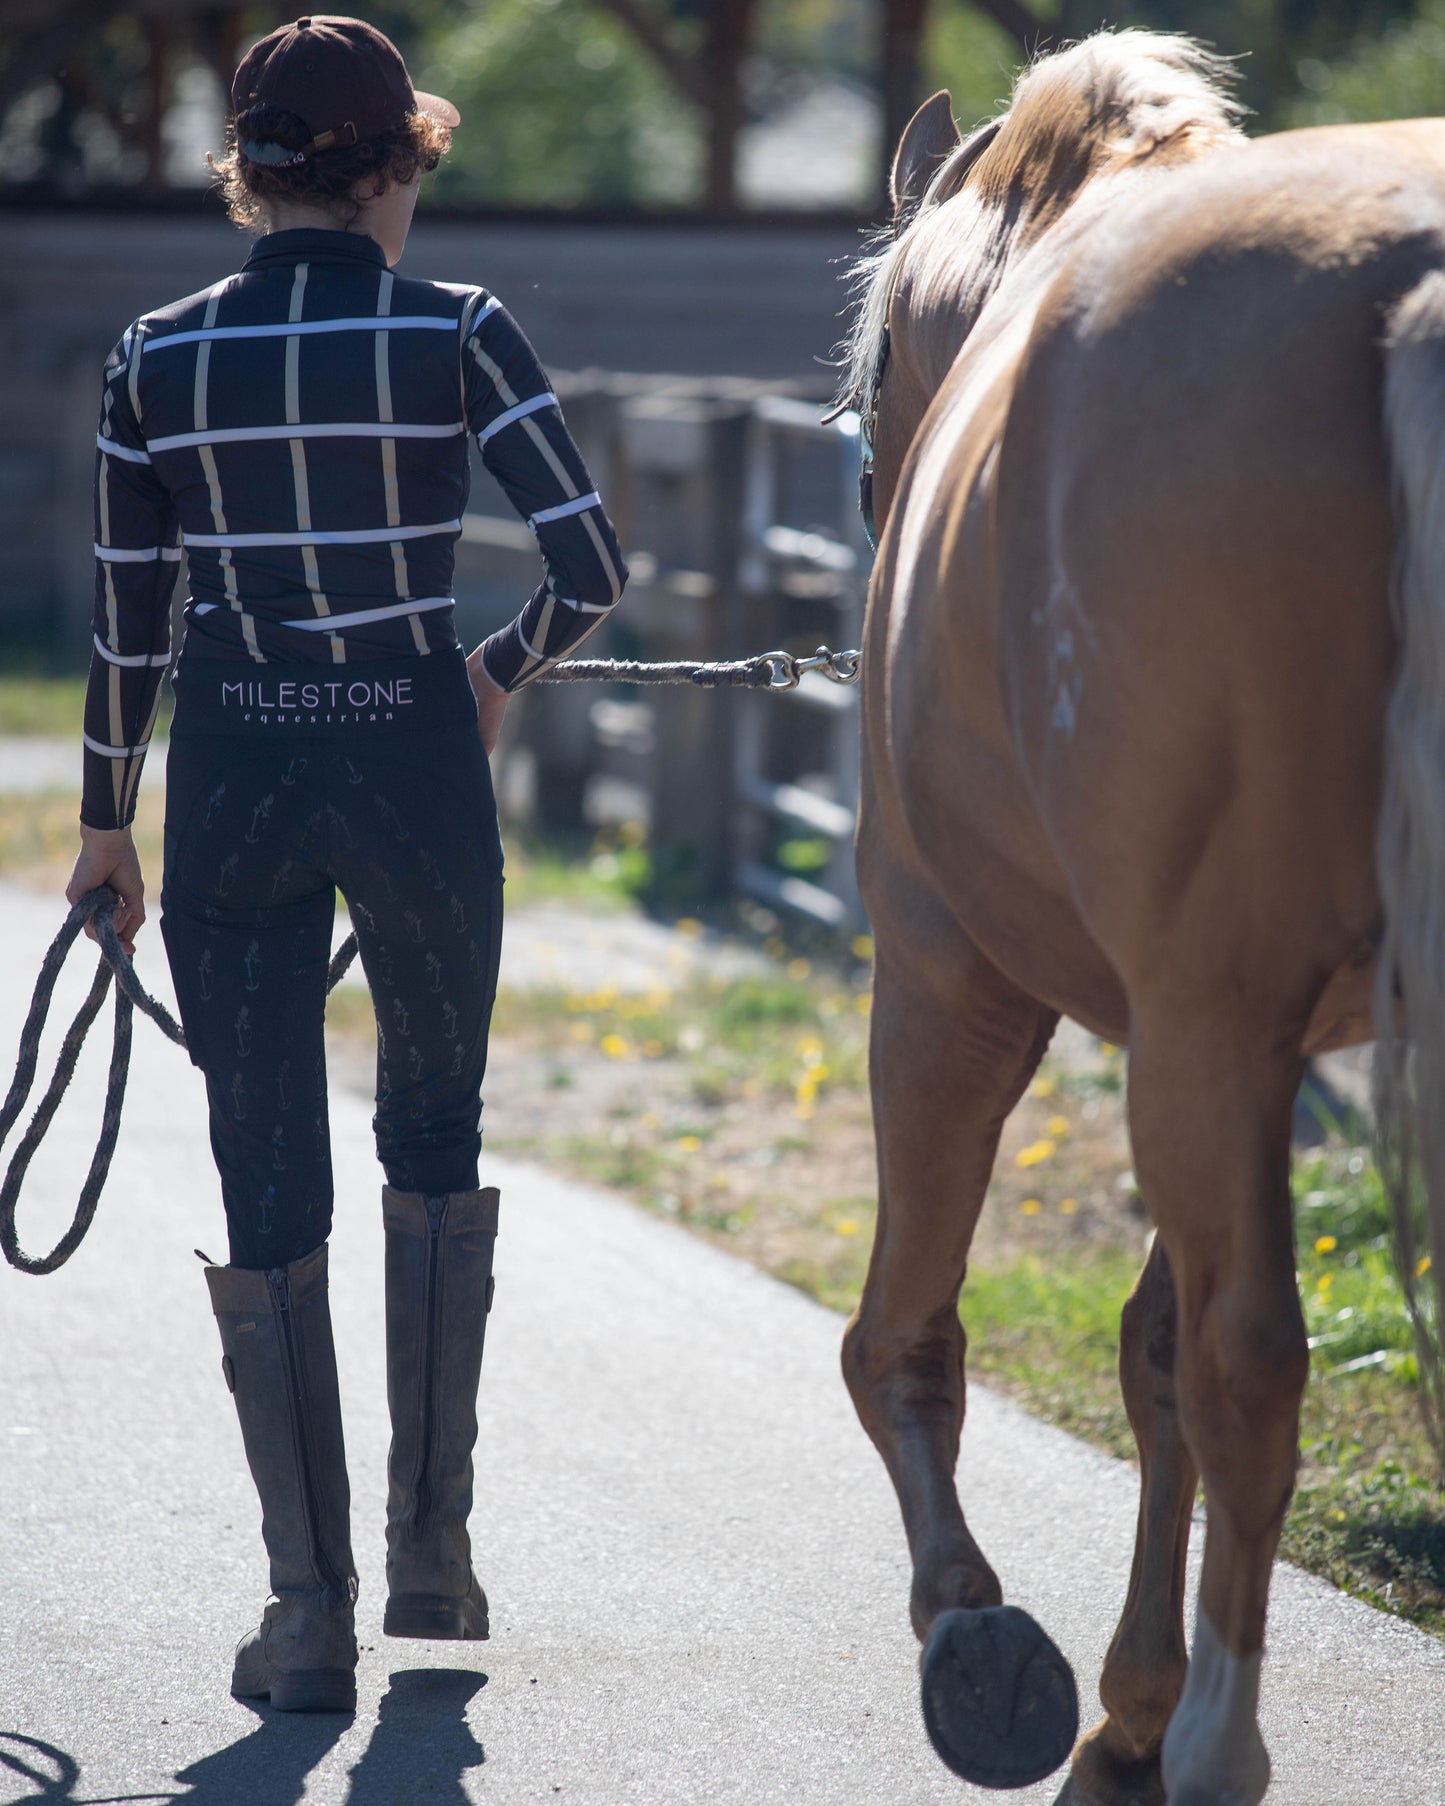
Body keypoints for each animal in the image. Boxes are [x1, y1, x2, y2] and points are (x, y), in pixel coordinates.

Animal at [834, 28, 1445, 1806]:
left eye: (865, 411)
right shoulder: (1235, 1046)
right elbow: (1149, 1345)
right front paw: (1123, 1707)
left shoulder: (957, 984)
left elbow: (906, 1337)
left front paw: (983, 1639)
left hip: (1174, 1021)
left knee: (1252, 1362)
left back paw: (1219, 1742)